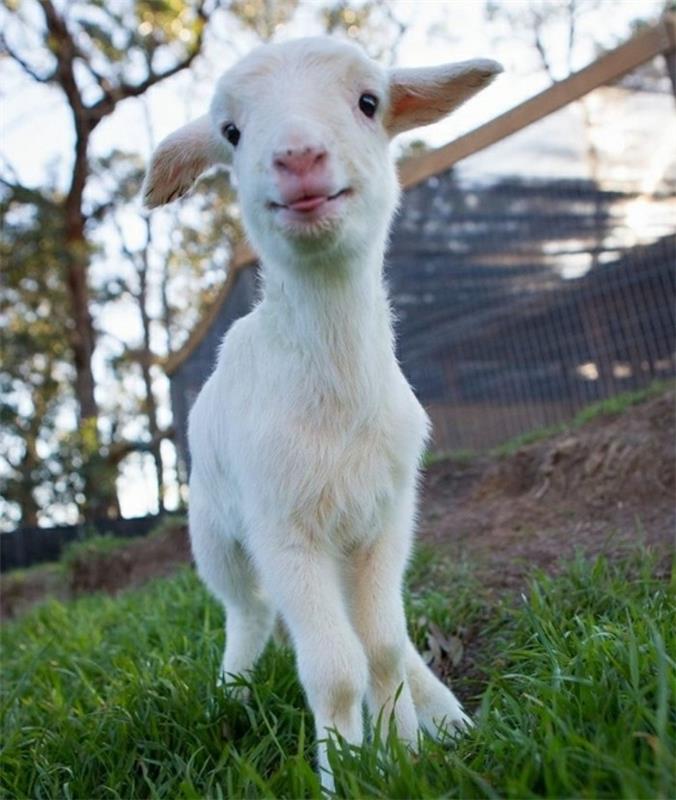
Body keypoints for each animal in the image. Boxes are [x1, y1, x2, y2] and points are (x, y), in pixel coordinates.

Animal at [144, 36, 502, 788]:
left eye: (369, 101)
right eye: (231, 131)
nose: (298, 158)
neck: (338, 403)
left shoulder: (386, 515)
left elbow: (384, 647)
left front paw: (405, 755)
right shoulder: (284, 529)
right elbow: (335, 670)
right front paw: (350, 772)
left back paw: (448, 717)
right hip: (217, 535)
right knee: (248, 612)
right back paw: (230, 696)